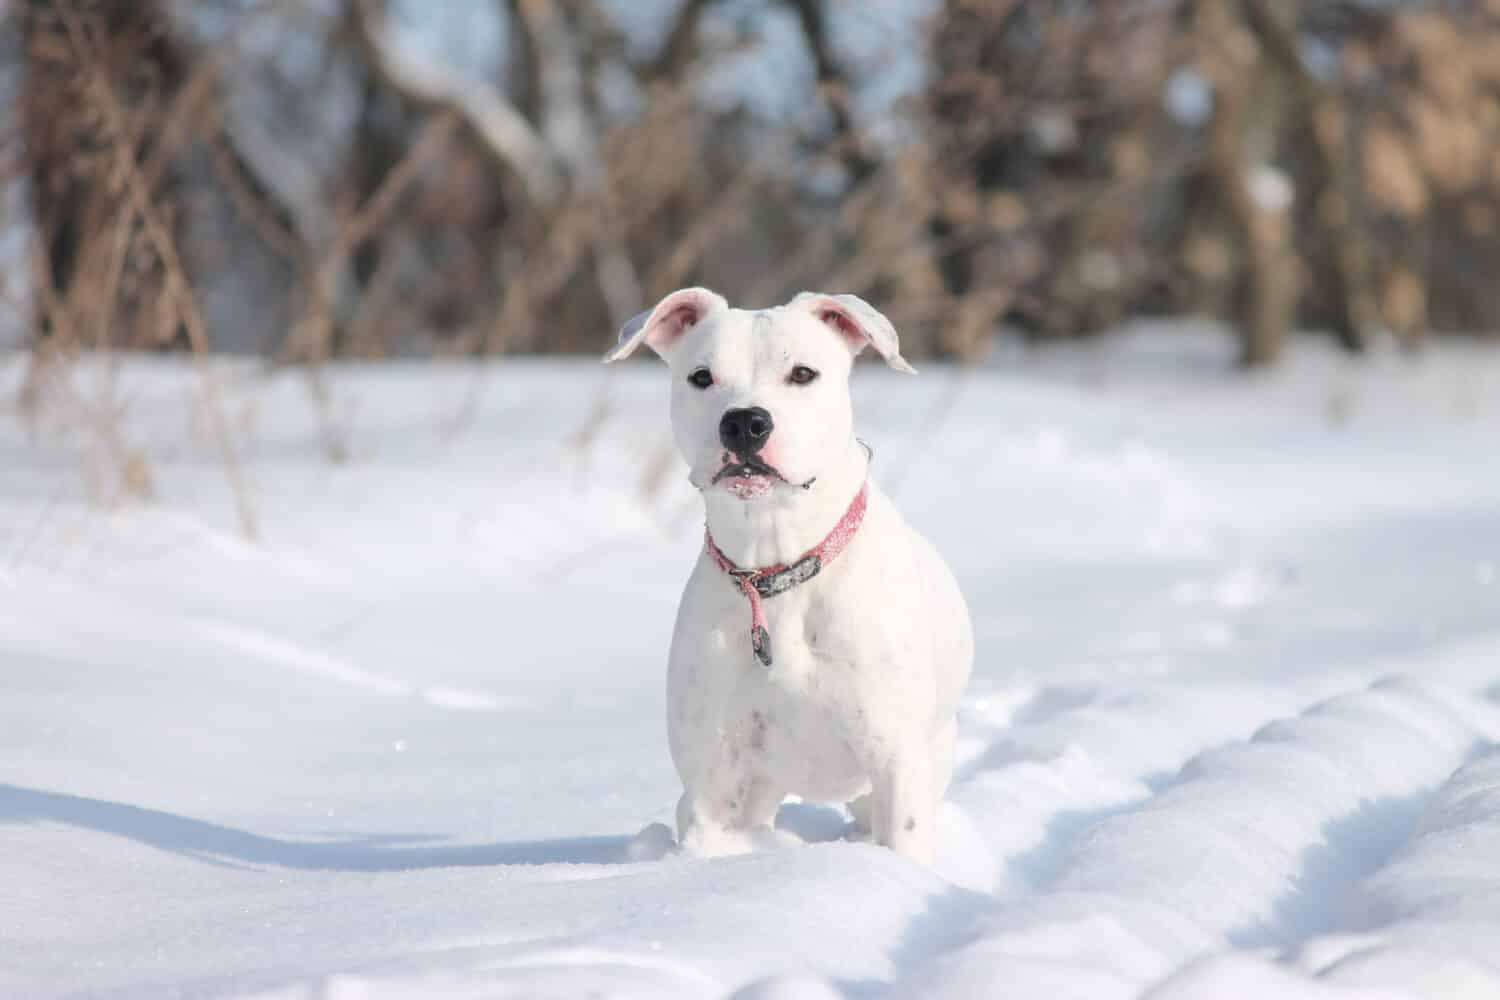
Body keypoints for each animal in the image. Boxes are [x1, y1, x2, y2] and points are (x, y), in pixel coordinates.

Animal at [606, 289, 972, 869]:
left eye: (803, 373)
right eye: (701, 376)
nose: (744, 423)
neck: (776, 563)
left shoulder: (897, 763)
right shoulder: (713, 781)